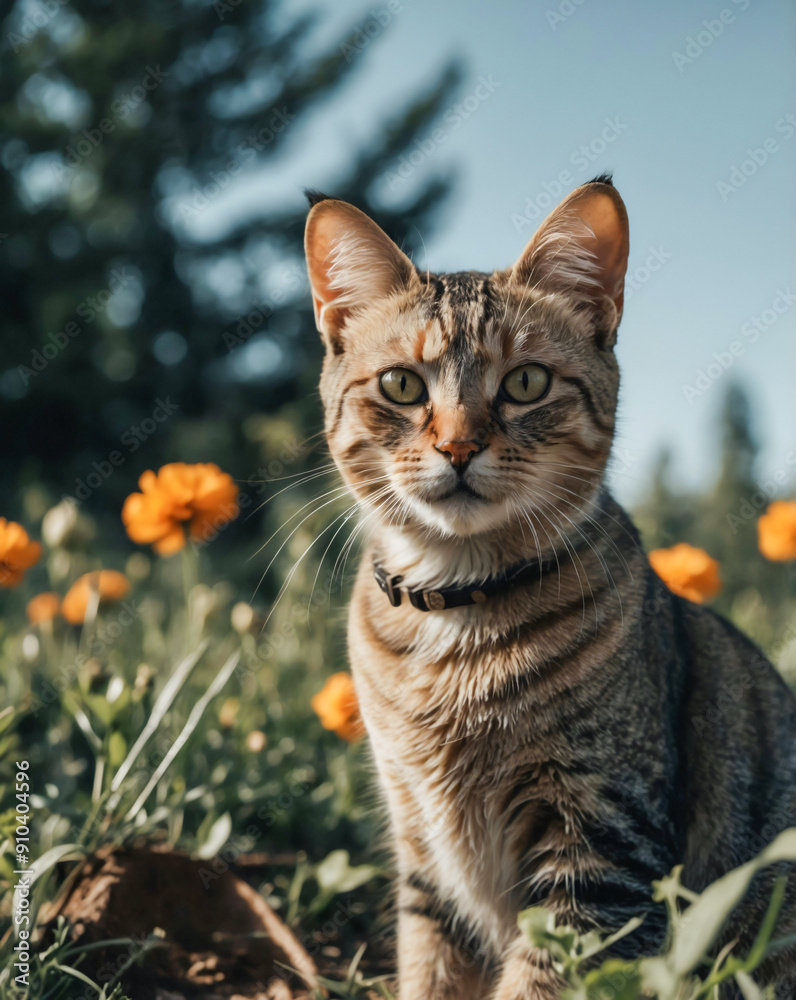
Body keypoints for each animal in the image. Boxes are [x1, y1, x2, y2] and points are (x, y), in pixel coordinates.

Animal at [302, 176, 792, 996]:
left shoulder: (600, 849)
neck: (456, 615)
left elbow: (541, 977)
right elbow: (431, 970)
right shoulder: (423, 854)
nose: (458, 445)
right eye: (402, 385)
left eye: (525, 382)